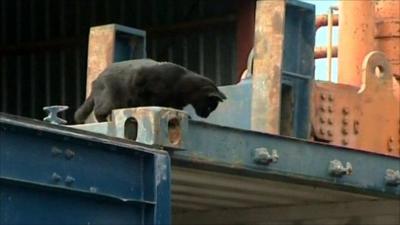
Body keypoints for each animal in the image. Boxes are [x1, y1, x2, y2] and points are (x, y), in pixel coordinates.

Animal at [74, 58, 225, 123]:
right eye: (210, 107)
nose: (206, 116)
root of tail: (96, 80)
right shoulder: (141, 80)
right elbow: (148, 100)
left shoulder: (175, 102)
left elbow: (176, 108)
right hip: (111, 99)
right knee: (99, 111)